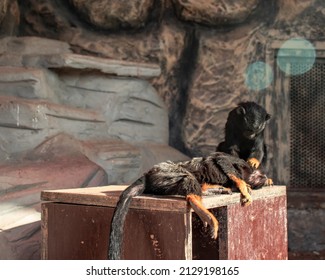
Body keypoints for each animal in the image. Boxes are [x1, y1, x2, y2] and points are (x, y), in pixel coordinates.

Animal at [107, 152, 272, 260]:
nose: (263, 177)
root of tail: (148, 176)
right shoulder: (237, 163)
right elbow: (222, 160)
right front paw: (243, 185)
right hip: (165, 171)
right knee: (188, 178)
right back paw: (201, 206)